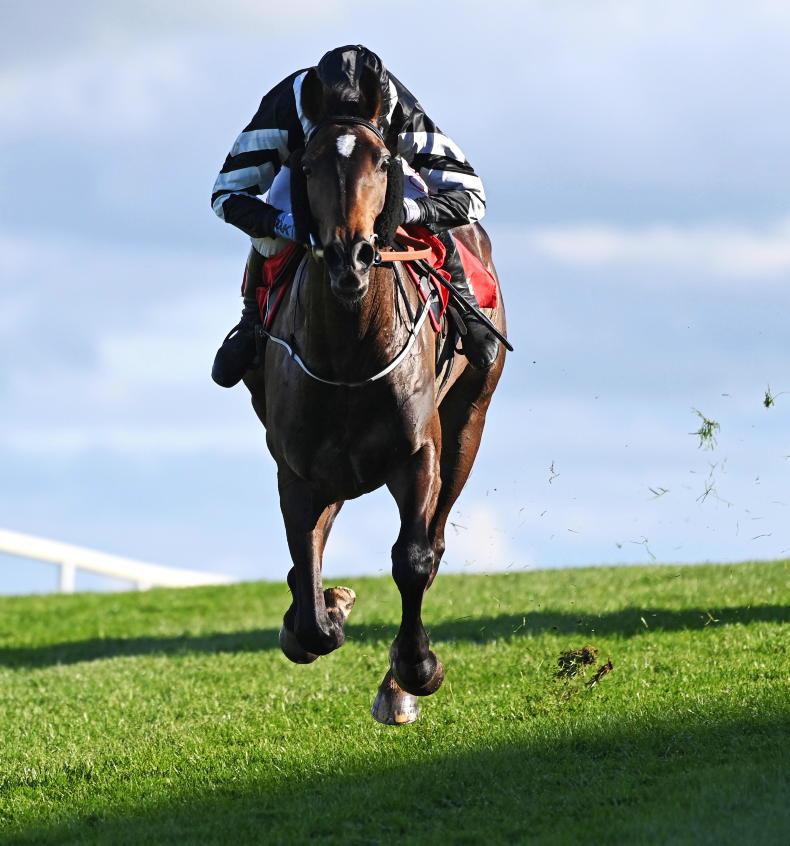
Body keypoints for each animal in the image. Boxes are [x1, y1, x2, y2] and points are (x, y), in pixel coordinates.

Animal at [242, 67, 507, 724]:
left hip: (469, 421)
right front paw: (326, 613)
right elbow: (307, 581)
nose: (351, 255)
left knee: (433, 540)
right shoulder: (298, 467)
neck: (350, 352)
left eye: (383, 160)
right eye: (308, 163)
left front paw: (414, 671)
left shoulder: (420, 452)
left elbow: (412, 558)